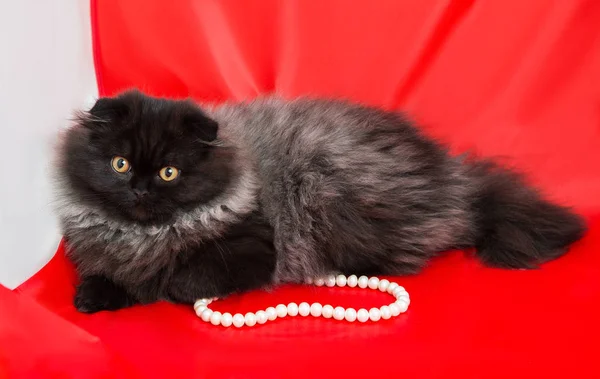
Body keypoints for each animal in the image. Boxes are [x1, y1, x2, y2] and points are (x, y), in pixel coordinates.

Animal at [51, 90, 584, 314]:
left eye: (169, 172)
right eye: (120, 164)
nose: (139, 189)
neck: (145, 236)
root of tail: (452, 180)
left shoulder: (253, 245)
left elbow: (181, 278)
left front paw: (161, 285)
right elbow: (107, 275)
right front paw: (94, 296)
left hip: (330, 191)